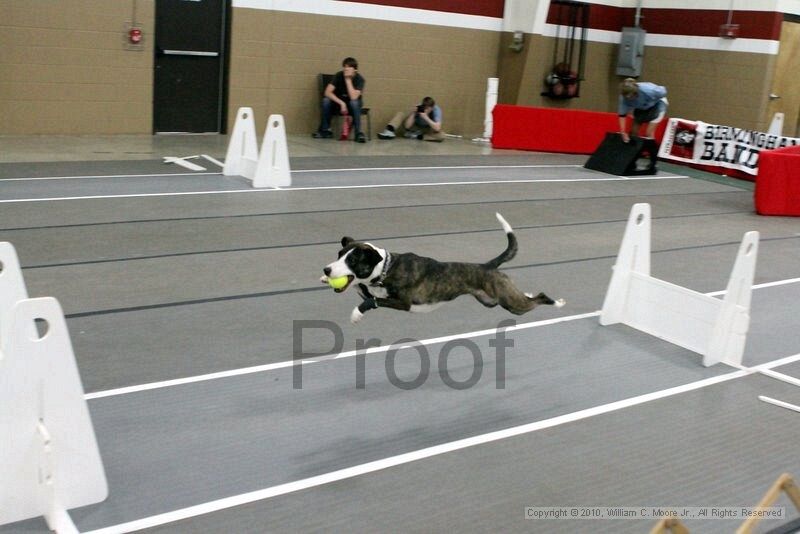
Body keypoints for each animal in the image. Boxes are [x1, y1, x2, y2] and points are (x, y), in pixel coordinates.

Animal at [318, 213, 564, 322]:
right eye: (339, 255)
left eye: (352, 261)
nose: (327, 270)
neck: (386, 268)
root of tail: (487, 265)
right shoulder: (370, 287)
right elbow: (363, 290)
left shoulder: (404, 303)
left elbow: (372, 301)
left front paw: (356, 314)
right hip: (491, 301)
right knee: (528, 296)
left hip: (511, 304)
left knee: (539, 298)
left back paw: (557, 302)